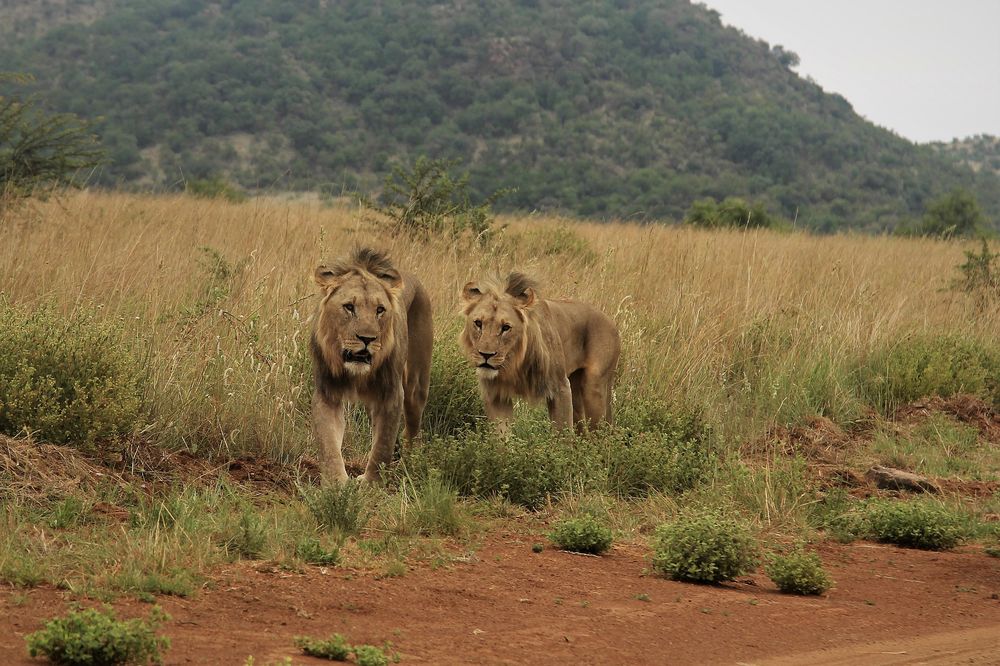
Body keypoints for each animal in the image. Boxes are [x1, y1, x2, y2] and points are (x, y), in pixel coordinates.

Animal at [310, 246, 432, 480]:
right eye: (349, 307)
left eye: (380, 310)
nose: (367, 339)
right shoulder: (328, 392)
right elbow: (328, 444)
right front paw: (336, 482)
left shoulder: (392, 393)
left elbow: (382, 446)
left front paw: (371, 483)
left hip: (416, 384)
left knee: (412, 427)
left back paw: (410, 463)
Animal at [458, 272, 616, 434]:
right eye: (478, 323)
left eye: (506, 327)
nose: (486, 355)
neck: (514, 362)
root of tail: (609, 320)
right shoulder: (496, 395)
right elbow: (502, 436)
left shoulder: (560, 388)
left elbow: (562, 434)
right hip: (576, 388)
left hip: (594, 388)